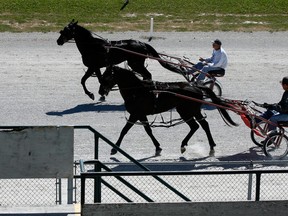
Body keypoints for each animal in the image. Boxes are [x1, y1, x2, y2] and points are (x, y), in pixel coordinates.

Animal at [100, 66, 237, 156]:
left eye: (107, 76)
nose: (100, 91)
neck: (137, 91)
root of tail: (195, 86)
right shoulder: (141, 114)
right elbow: (148, 130)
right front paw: (158, 147)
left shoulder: (135, 114)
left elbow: (124, 130)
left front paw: (114, 148)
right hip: (185, 111)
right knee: (196, 126)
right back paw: (184, 145)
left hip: (189, 110)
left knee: (203, 125)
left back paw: (211, 147)